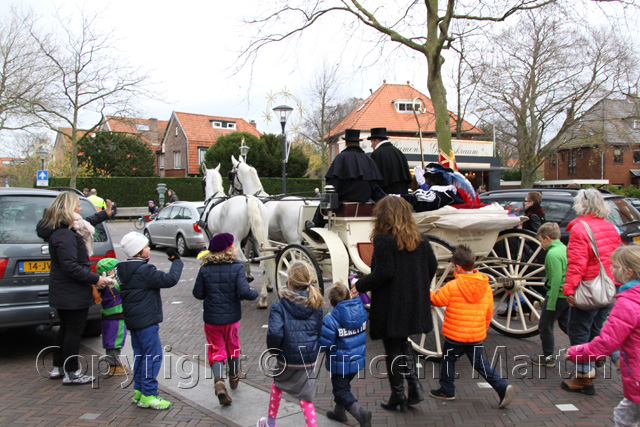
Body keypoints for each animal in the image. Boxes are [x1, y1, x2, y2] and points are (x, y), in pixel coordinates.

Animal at [201, 163, 274, 308]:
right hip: (259, 240)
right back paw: (263, 298)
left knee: (243, 260)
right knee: (263, 263)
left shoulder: (208, 239)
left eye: (202, 181)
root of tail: (249, 199)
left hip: (237, 241)